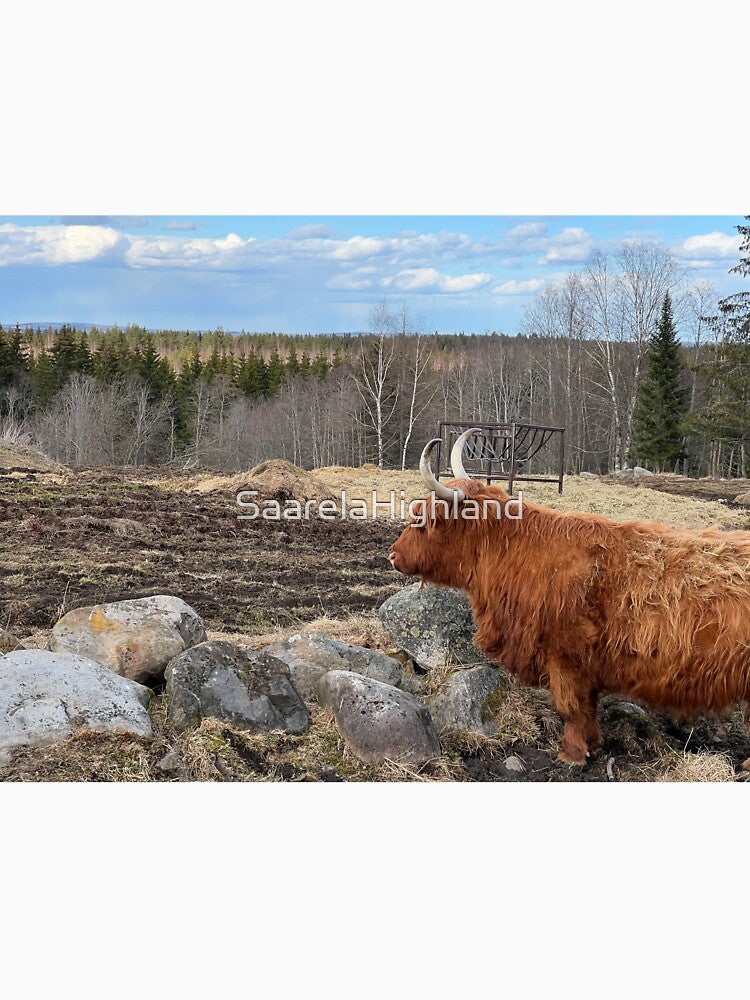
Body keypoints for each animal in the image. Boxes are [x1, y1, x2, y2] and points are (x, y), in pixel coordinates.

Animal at [388, 428, 750, 766]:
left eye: (422, 520)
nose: (393, 555)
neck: (516, 552)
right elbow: (587, 708)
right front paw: (593, 744)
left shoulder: (564, 656)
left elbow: (570, 707)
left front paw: (571, 754)